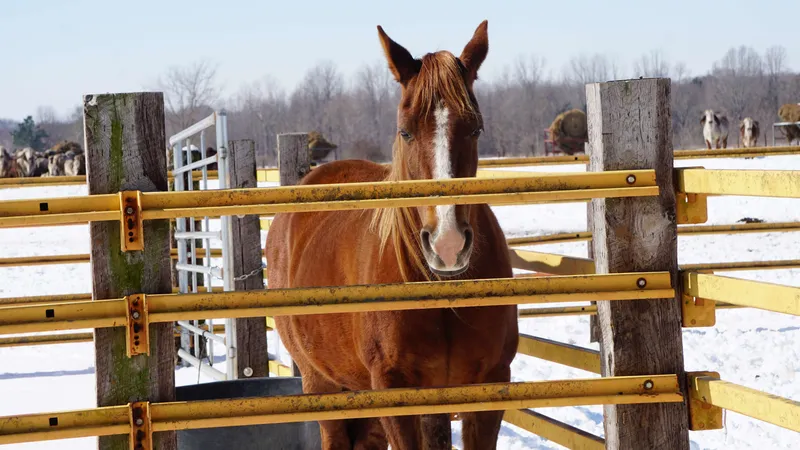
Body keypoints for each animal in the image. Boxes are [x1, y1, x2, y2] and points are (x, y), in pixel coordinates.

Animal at [265, 20, 518, 450]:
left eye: (476, 129)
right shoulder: (392, 392)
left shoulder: (488, 389)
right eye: (405, 131)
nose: (447, 244)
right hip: (321, 385)